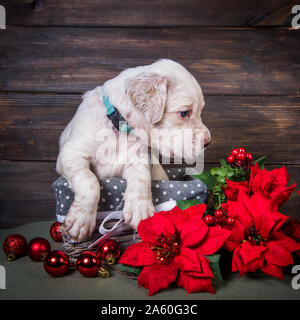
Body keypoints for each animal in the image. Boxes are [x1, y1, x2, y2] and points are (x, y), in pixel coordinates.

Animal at [56, 59, 211, 240]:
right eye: (184, 112)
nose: (208, 142)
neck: (118, 125)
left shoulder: (139, 157)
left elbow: (141, 176)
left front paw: (140, 209)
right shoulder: (71, 154)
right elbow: (89, 180)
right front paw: (80, 221)